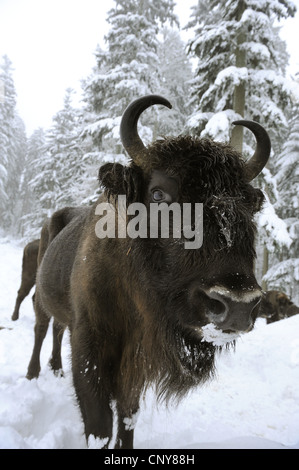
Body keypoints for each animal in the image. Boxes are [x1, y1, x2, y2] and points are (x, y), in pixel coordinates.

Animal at [27, 94, 274, 448]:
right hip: (41, 299)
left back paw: (56, 368)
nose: (237, 304)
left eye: (247, 204)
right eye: (158, 194)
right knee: (41, 326)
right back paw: (33, 373)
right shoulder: (90, 349)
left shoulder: (136, 362)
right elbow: (99, 426)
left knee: (56, 329)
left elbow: (128, 416)